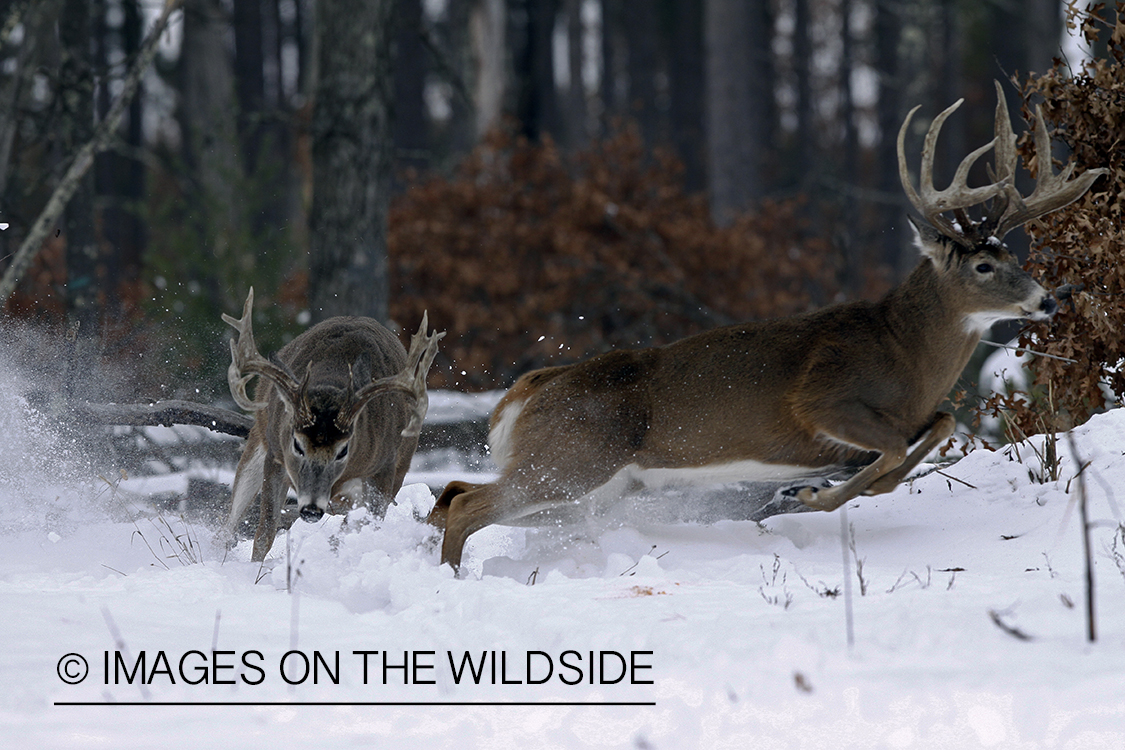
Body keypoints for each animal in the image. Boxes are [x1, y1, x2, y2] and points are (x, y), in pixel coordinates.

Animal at [219, 290, 443, 559]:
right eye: (297, 445)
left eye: (343, 450)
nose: (311, 510)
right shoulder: (275, 455)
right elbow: (264, 532)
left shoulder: (385, 468)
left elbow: (367, 526)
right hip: (259, 438)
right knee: (230, 520)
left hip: (402, 462)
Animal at [429, 82, 1107, 571]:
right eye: (985, 265)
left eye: (1016, 255)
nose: (1046, 301)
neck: (903, 354)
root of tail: (523, 393)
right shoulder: (824, 398)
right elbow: (890, 449)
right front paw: (809, 498)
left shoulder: (908, 414)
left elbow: (933, 429)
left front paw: (818, 494)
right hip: (572, 460)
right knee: (465, 503)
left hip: (587, 489)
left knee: (452, 494)